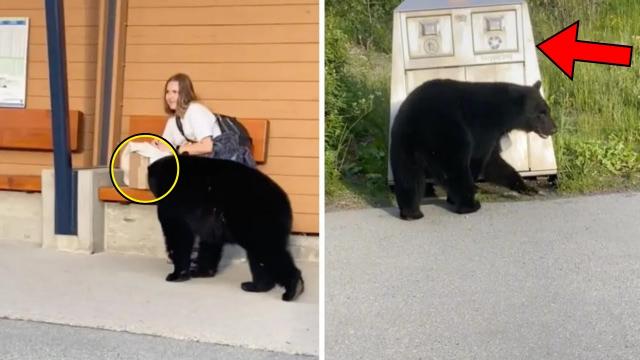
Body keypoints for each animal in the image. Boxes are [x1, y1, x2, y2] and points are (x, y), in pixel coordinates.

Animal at [149, 155, 304, 300]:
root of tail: (286, 203)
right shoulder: (210, 219)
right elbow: (209, 241)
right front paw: (202, 272)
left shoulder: (173, 203)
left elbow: (178, 235)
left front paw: (176, 274)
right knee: (259, 257)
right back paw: (256, 286)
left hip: (257, 219)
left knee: (267, 250)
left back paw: (292, 288)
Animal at [390, 79, 556, 219]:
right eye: (541, 114)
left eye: (548, 110)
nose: (554, 128)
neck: (502, 113)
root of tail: (417, 123)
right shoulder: (483, 128)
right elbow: (479, 158)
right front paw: (463, 194)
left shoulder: (494, 135)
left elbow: (494, 163)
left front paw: (527, 188)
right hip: (447, 136)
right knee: (456, 170)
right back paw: (470, 205)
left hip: (403, 143)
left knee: (408, 176)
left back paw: (411, 213)